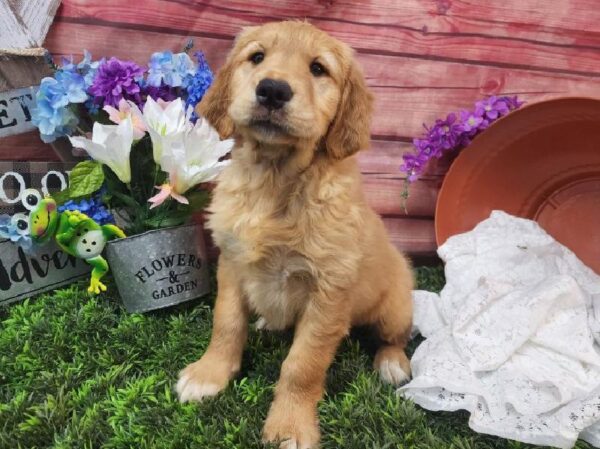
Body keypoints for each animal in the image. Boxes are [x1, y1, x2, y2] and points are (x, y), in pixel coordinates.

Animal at [178, 21, 412, 448]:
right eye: (257, 57)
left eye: (318, 69)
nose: (272, 89)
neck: (274, 180)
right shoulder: (231, 263)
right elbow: (226, 324)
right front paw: (209, 374)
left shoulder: (329, 291)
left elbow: (302, 364)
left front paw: (289, 425)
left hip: (395, 307)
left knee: (396, 336)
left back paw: (391, 363)